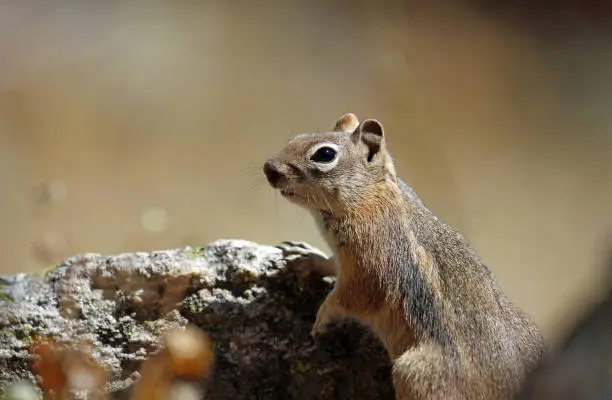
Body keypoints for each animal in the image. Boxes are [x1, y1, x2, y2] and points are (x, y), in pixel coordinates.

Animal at [262, 113, 544, 400]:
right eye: (294, 138)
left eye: (325, 154)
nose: (268, 168)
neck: (369, 197)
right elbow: (331, 264)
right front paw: (304, 256)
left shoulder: (370, 264)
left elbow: (351, 296)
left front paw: (322, 316)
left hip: (413, 374)